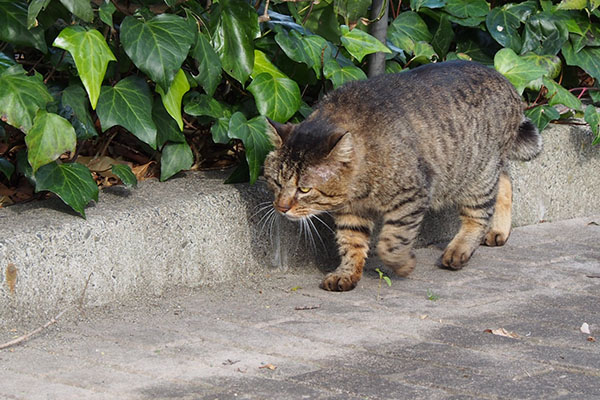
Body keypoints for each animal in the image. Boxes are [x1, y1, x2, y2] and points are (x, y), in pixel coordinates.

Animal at [262, 60, 540, 290]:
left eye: (304, 189)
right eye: (276, 182)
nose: (281, 208)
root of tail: (506, 81)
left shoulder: (412, 195)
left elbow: (391, 240)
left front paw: (402, 264)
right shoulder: (351, 211)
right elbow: (351, 242)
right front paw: (347, 273)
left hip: (477, 175)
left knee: (479, 214)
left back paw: (459, 250)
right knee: (505, 180)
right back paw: (499, 230)